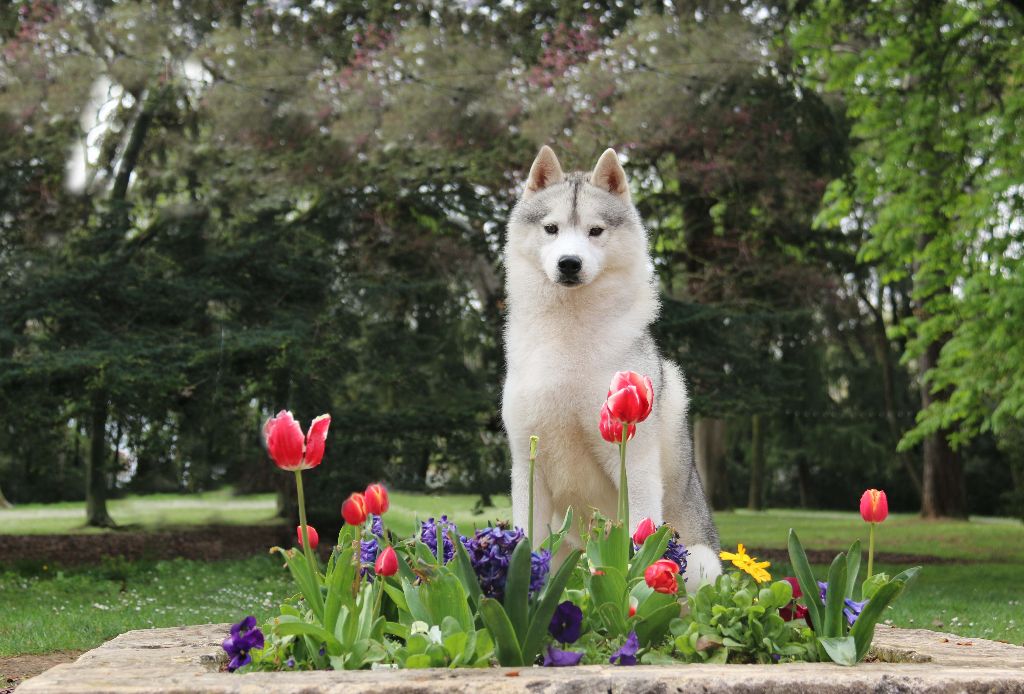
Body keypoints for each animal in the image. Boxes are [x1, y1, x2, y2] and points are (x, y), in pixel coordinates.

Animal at [501, 146, 724, 593]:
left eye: (595, 231)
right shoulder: (527, 469)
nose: (569, 263)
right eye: (551, 229)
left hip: (702, 563)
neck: (569, 332)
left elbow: (641, 539)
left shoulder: (634, 465)